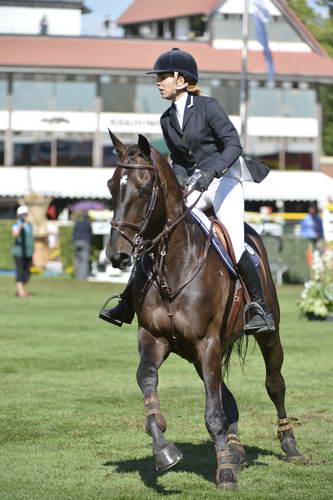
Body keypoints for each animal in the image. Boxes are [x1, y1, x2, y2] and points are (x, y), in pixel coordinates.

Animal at [105, 131, 300, 490]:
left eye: (144, 188)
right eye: (112, 185)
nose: (118, 255)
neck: (172, 267)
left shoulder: (206, 342)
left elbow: (213, 413)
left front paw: (224, 474)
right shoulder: (154, 338)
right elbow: (147, 382)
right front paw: (164, 451)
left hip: (265, 335)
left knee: (274, 383)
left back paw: (289, 443)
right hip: (198, 354)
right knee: (225, 394)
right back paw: (235, 449)